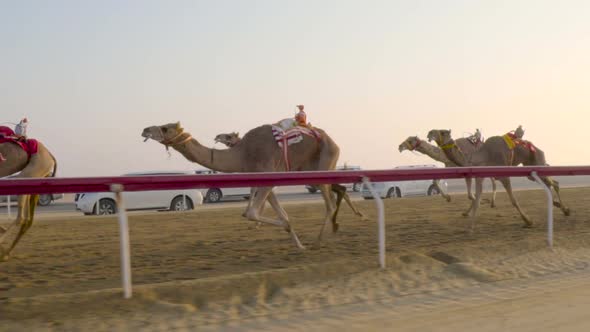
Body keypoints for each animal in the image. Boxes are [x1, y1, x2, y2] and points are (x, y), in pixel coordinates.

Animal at [0, 125, 57, 260]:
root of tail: (51, 155)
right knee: (28, 220)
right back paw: (5, 252)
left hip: (33, 170)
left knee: (22, 218)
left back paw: (3, 249)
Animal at [143, 122, 344, 249]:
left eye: (165, 128)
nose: (145, 130)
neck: (242, 153)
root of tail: (334, 141)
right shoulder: (266, 181)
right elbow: (282, 214)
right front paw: (299, 244)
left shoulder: (267, 174)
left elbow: (251, 213)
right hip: (311, 170)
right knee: (332, 196)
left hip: (325, 162)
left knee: (330, 203)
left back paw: (319, 239)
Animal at [215, 131, 368, 222]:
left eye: (229, 136)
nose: (217, 136)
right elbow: (256, 191)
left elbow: (257, 191)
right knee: (340, 189)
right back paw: (356, 213)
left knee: (338, 189)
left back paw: (356, 214)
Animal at [428, 127, 572, 228]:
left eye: (443, 132)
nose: (429, 133)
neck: (484, 155)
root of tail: (538, 149)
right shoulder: (482, 175)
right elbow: (475, 198)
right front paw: (470, 223)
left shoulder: (503, 175)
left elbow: (513, 200)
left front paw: (528, 221)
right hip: (530, 167)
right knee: (550, 182)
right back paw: (561, 207)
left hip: (537, 160)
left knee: (553, 183)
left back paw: (565, 209)